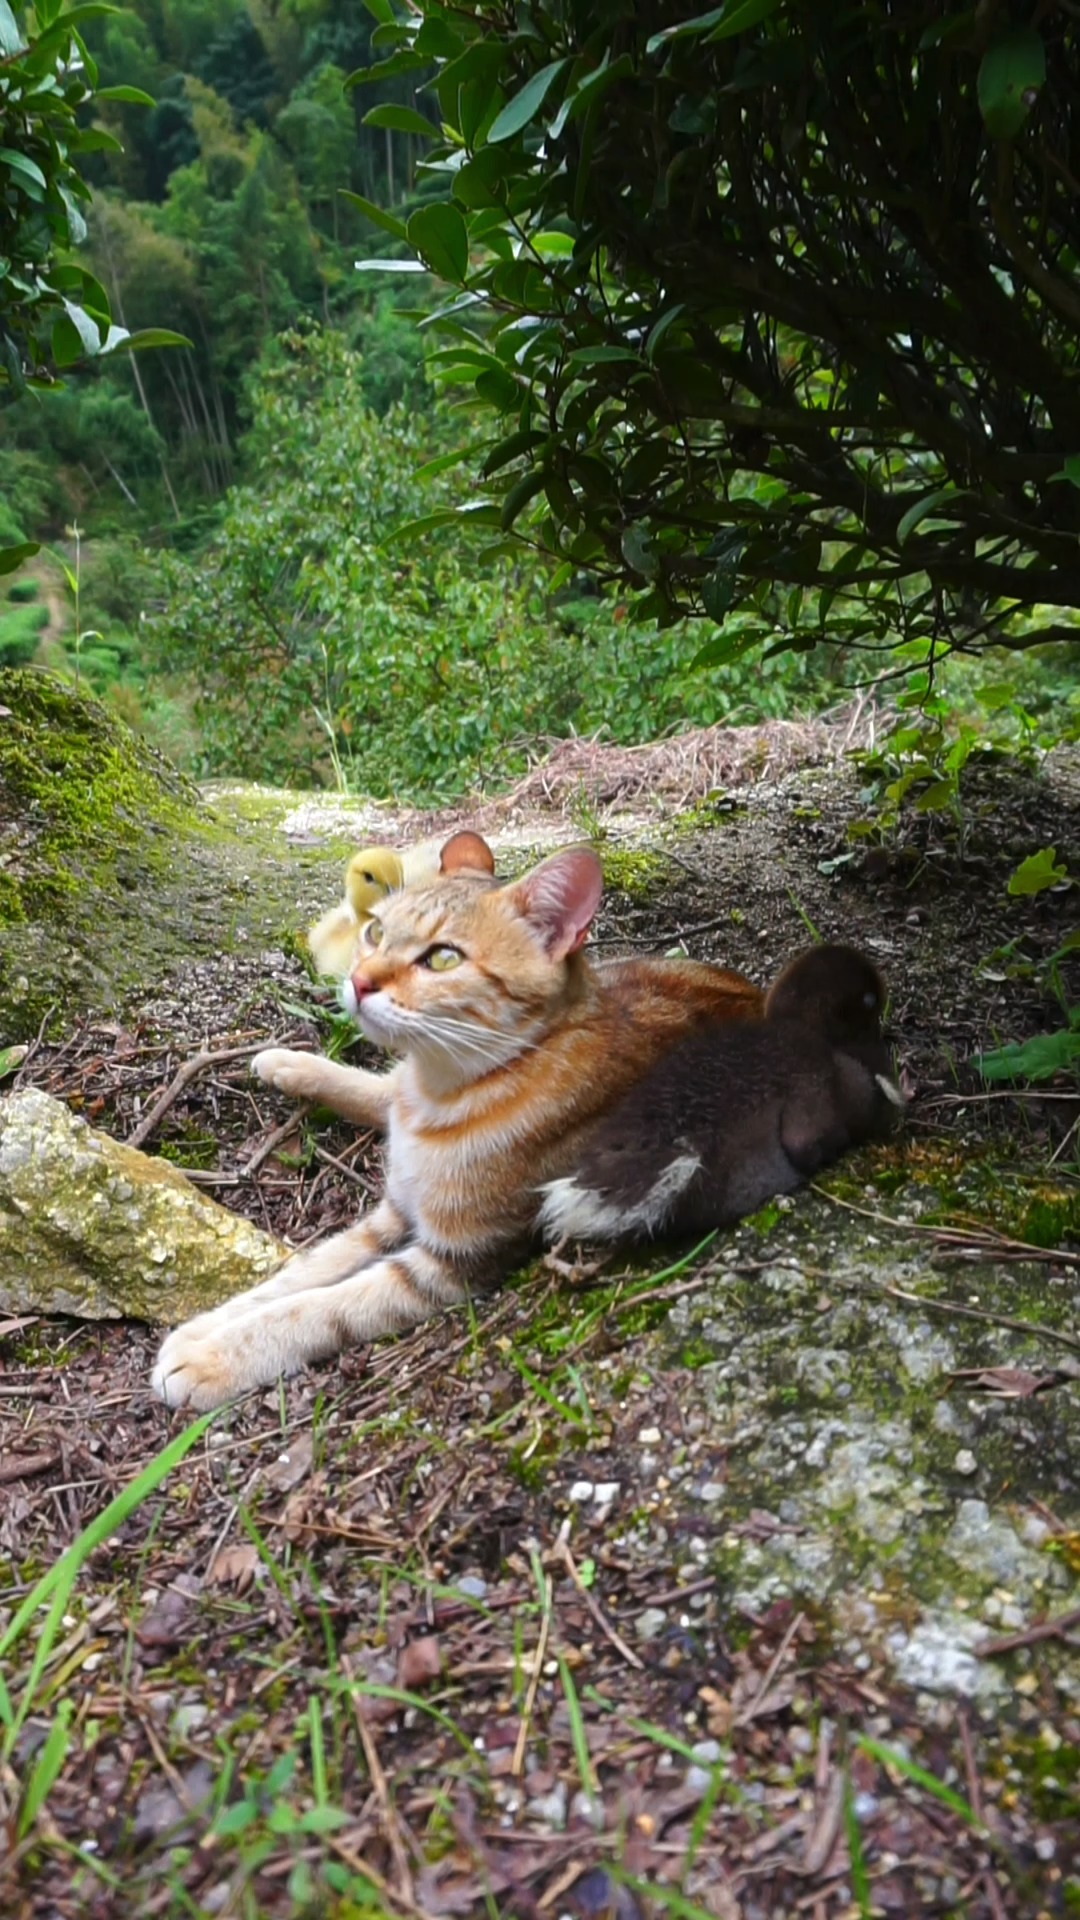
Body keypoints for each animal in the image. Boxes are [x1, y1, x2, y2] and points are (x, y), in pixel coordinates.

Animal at [151, 840, 757, 1413]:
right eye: (374, 932)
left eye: (443, 958)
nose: (358, 980)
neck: (439, 1094)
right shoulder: (391, 1212)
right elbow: (300, 1274)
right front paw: (209, 1326)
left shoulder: (450, 1261)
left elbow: (317, 1307)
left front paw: (213, 1357)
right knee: (379, 1090)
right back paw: (286, 1063)